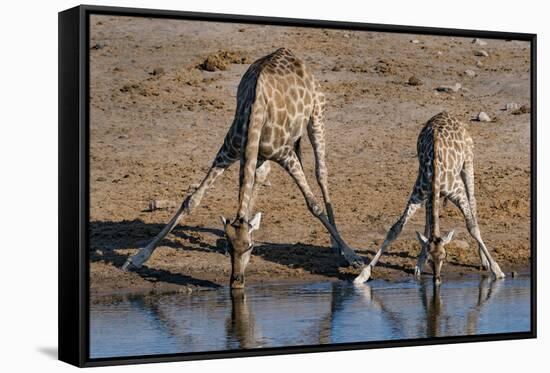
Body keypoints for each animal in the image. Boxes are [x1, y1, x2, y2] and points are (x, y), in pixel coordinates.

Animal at [125, 47, 366, 288]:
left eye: (250, 246)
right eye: (229, 246)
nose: (237, 281)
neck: (255, 113)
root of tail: (290, 53)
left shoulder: (285, 154)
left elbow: (313, 204)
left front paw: (353, 257)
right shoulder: (229, 153)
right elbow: (192, 200)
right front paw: (137, 258)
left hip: (317, 115)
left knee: (321, 173)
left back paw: (336, 245)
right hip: (260, 154)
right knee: (260, 175)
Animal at [356, 112, 506, 284]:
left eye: (445, 256)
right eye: (430, 258)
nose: (437, 280)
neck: (436, 173)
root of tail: (446, 113)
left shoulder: (458, 194)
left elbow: (472, 227)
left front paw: (497, 270)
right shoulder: (418, 195)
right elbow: (396, 229)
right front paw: (363, 274)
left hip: (468, 163)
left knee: (473, 201)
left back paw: (484, 260)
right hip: (429, 195)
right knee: (429, 219)